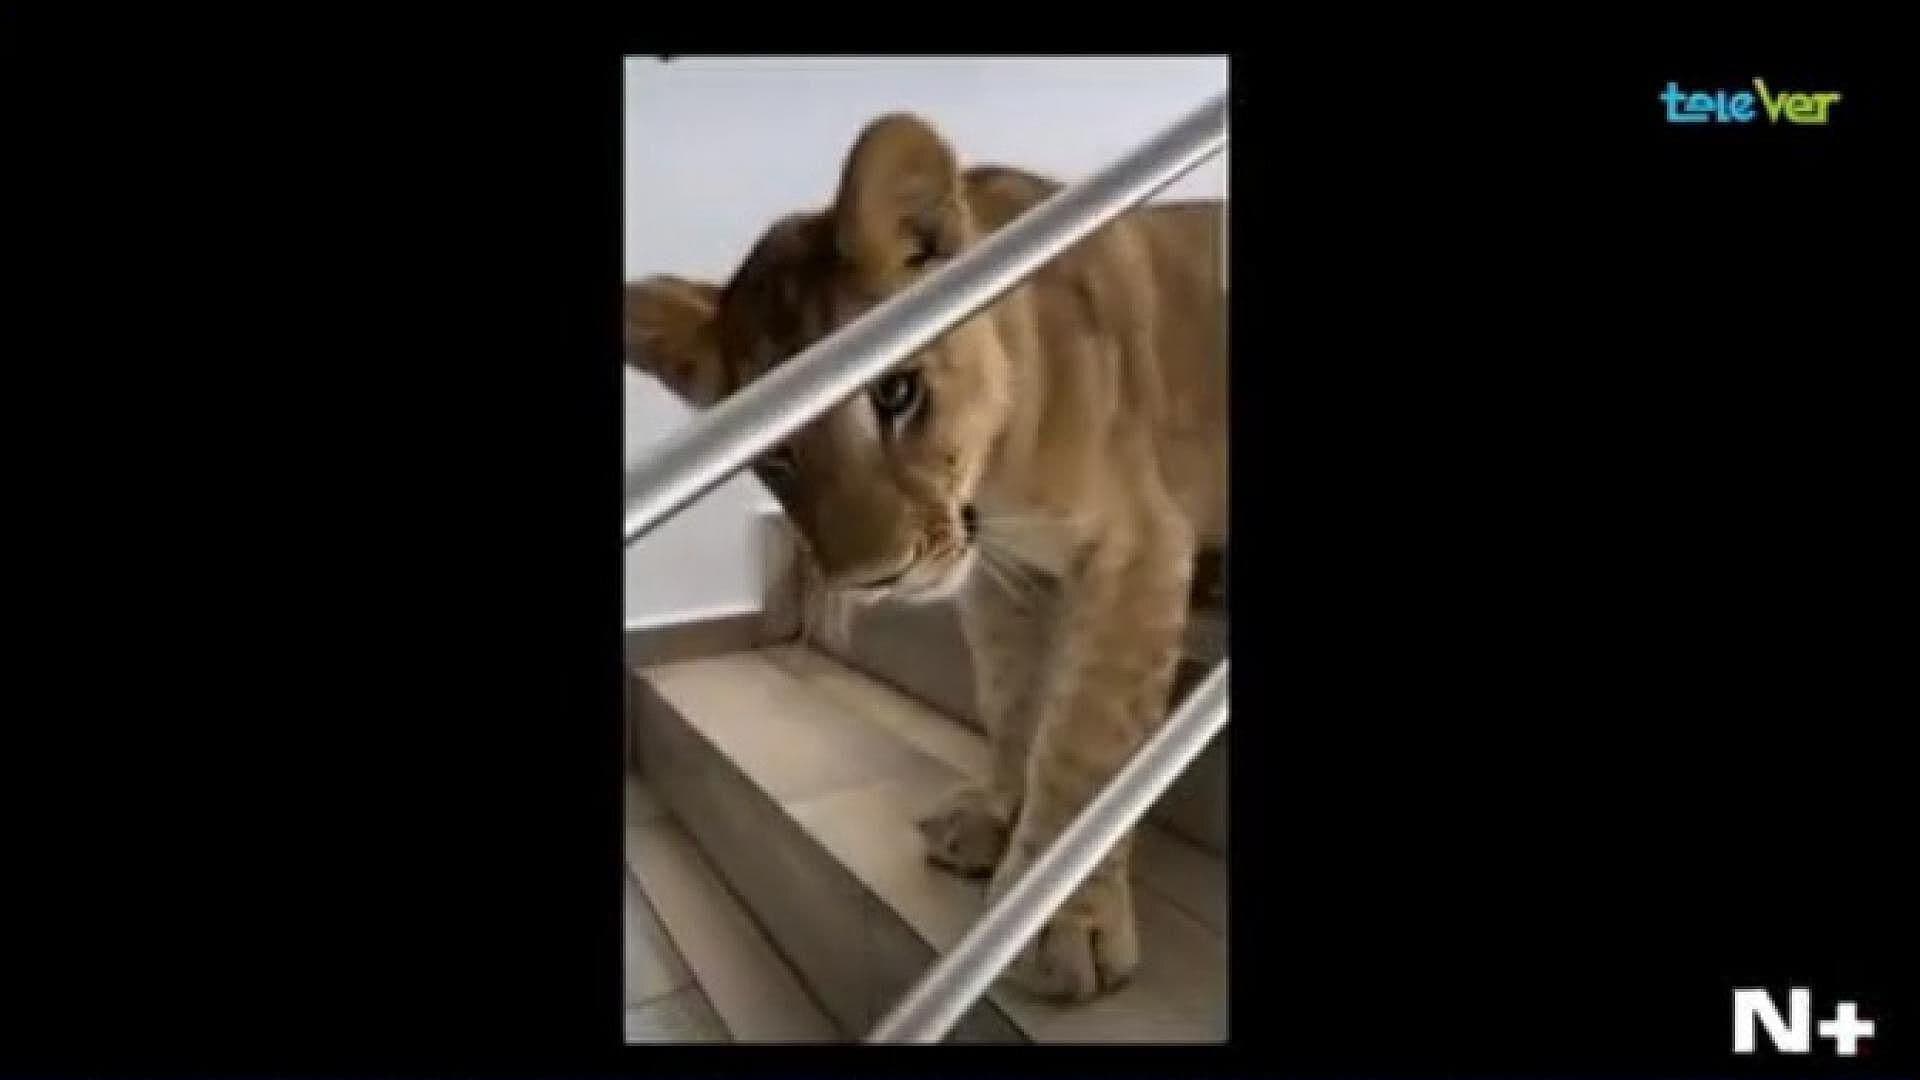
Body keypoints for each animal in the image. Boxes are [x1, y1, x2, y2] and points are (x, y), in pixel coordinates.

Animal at [625, 112, 1225, 1003]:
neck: (999, 472)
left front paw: (1060, 923)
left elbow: (1085, 746)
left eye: (898, 393)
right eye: (775, 455)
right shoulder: (1008, 578)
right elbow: (1012, 700)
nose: (875, 577)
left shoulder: (1137, 549)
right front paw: (994, 818)